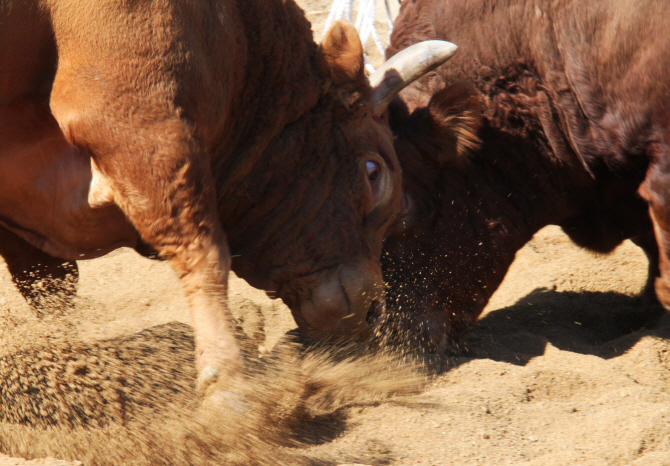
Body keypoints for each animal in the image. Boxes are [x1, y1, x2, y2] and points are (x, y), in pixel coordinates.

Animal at [0, 0, 456, 396]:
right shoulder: (134, 116)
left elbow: (51, 293)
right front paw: (228, 383)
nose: (375, 311)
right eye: (373, 171)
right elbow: (203, 252)